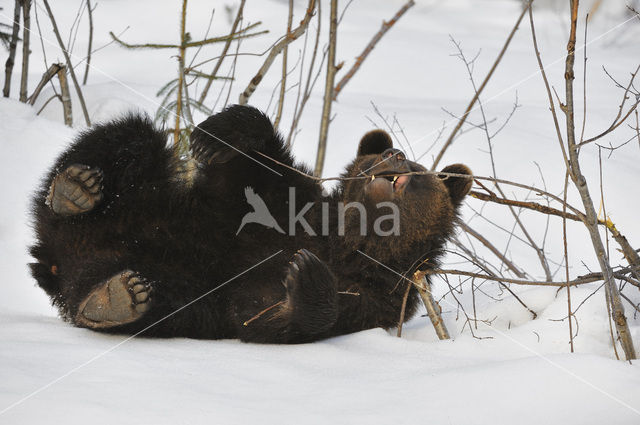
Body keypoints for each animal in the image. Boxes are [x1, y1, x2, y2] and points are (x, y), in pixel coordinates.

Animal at [28, 104, 470, 342]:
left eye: (420, 171)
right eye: (374, 157)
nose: (394, 154)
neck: (350, 242)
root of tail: (53, 260)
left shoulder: (378, 297)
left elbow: (270, 316)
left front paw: (306, 274)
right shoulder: (280, 203)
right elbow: (255, 163)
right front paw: (217, 130)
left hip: (171, 287)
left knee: (154, 301)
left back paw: (115, 298)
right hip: (137, 197)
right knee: (127, 135)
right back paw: (76, 189)